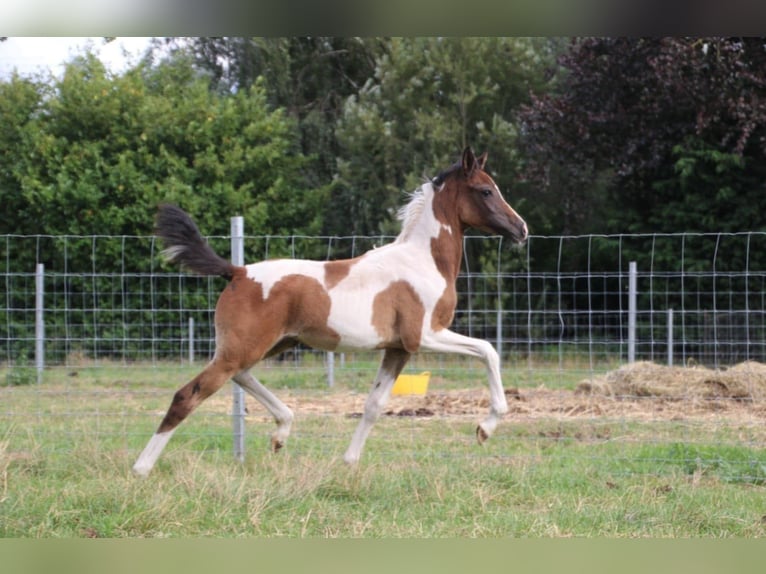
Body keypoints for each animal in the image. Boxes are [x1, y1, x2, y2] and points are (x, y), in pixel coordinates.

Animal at [132, 147, 528, 476]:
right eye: (486, 190)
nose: (521, 228)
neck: (422, 261)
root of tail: (238, 272)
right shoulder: (424, 336)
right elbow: (488, 350)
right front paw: (485, 428)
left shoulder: (397, 348)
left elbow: (373, 405)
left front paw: (349, 463)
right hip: (244, 347)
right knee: (189, 395)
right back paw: (141, 468)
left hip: (271, 344)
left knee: (241, 376)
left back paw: (282, 432)